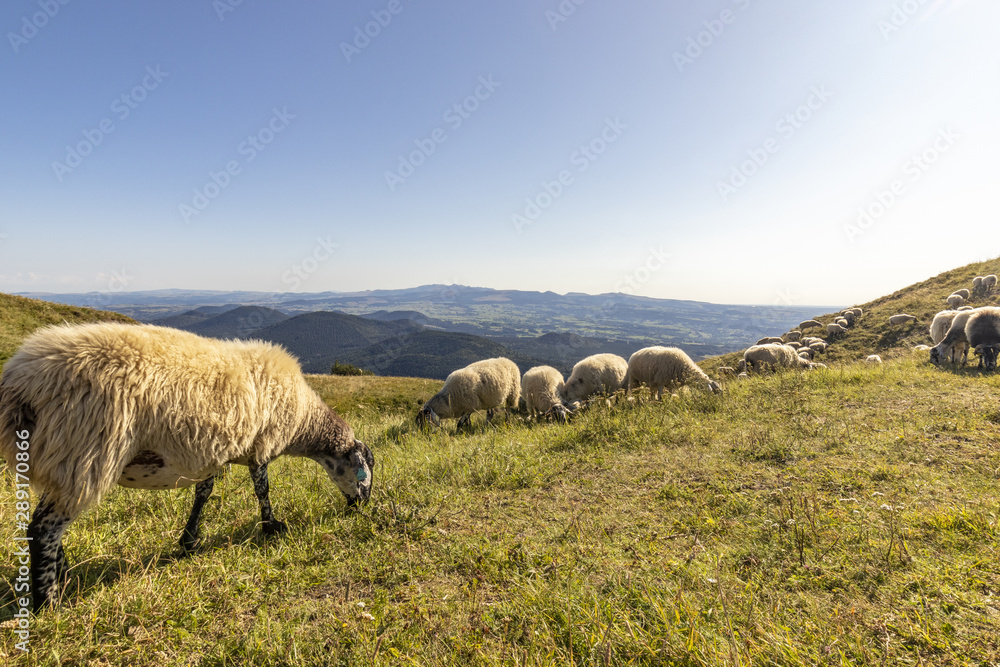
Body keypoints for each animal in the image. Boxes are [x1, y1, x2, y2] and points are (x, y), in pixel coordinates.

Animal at [0, 323, 375, 611]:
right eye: (365, 474)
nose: (361, 506)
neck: (303, 421)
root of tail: (20, 384)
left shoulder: (211, 455)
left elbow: (203, 494)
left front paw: (189, 540)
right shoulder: (260, 446)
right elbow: (262, 489)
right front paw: (271, 527)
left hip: (60, 460)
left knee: (48, 523)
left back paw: (63, 578)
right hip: (83, 453)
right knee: (44, 528)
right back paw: (49, 601)